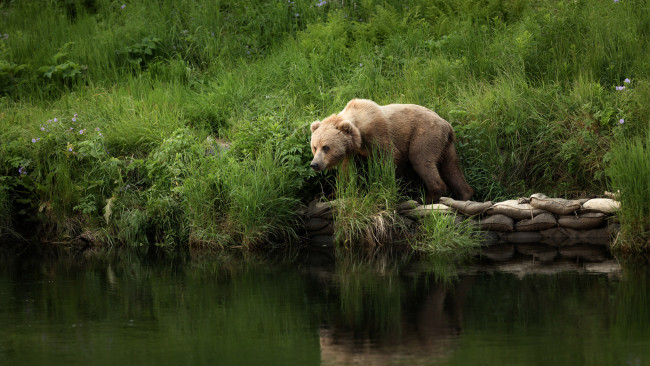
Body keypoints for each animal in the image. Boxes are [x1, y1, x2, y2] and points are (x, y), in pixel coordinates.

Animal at [308, 98, 470, 203]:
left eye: (326, 147)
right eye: (315, 147)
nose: (314, 164)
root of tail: (446, 124)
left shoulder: (378, 134)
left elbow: (391, 159)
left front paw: (382, 188)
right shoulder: (352, 152)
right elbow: (346, 173)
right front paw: (329, 195)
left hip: (425, 135)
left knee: (421, 160)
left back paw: (426, 197)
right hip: (445, 145)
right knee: (451, 167)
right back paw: (465, 195)